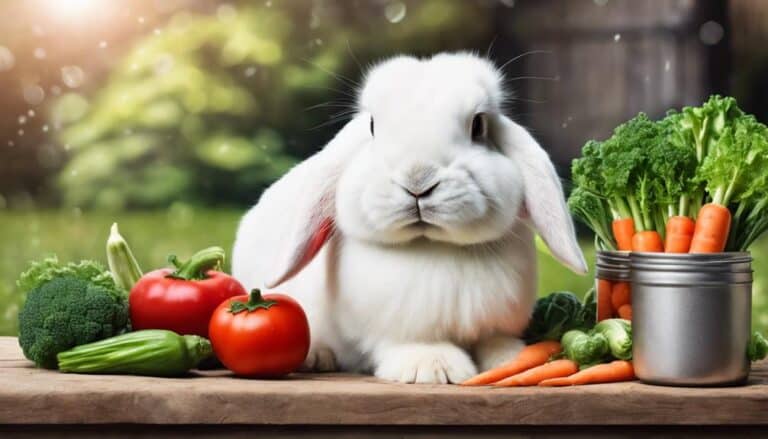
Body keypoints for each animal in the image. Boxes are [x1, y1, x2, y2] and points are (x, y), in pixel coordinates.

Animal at [232, 52, 587, 384]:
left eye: (478, 126)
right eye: (373, 126)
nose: (418, 179)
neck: (432, 246)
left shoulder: (495, 325)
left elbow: (496, 342)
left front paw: (513, 359)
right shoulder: (391, 330)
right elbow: (410, 343)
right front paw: (433, 368)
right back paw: (318, 357)